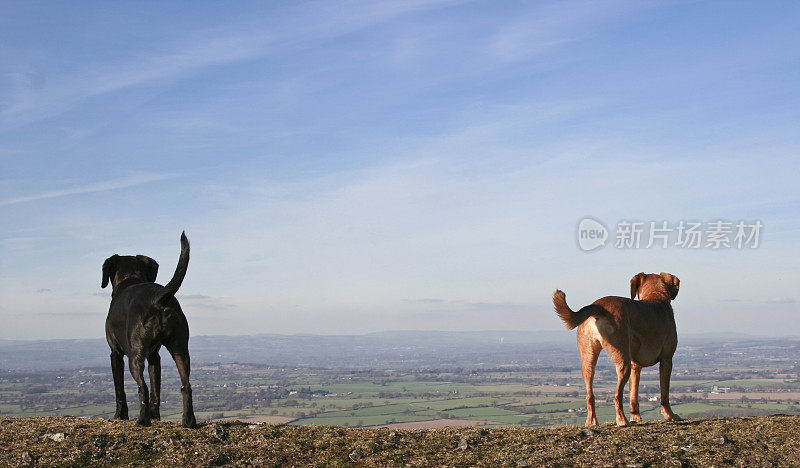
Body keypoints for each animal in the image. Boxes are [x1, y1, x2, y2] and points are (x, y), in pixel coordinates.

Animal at [101, 231, 196, 428]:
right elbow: (156, 391)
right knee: (186, 385)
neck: (130, 278)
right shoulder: (154, 356)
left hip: (135, 355)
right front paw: (156, 416)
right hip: (181, 350)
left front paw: (120, 415)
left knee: (142, 386)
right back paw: (188, 421)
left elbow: (119, 389)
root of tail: (158, 299)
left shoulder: (115, 353)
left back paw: (142, 420)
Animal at [556, 272, 680, 426]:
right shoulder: (666, 360)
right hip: (623, 362)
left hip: (588, 361)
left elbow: (633, 395)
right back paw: (622, 420)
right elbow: (665, 393)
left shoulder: (635, 366)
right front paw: (670, 415)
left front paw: (636, 417)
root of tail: (599, 306)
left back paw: (592, 422)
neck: (655, 295)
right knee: (617, 394)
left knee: (590, 395)